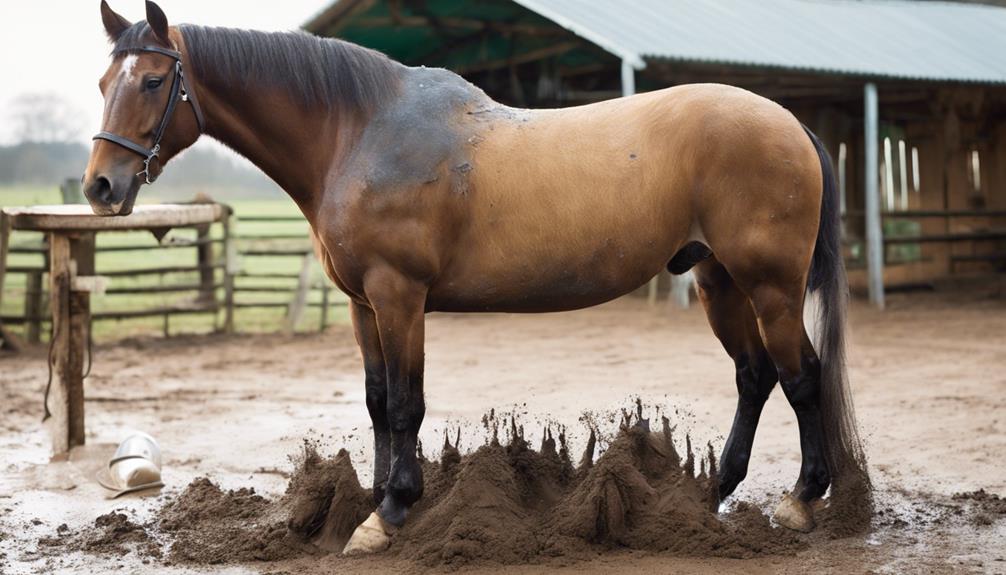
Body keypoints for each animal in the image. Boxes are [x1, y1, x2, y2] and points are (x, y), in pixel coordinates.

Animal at [86, 0, 869, 550]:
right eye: (101, 82)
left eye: (153, 80)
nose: (101, 187)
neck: (361, 132)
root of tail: (790, 123)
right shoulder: (363, 306)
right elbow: (377, 401)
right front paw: (372, 499)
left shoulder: (399, 296)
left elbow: (407, 404)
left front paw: (392, 512)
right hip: (719, 283)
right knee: (754, 377)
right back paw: (710, 497)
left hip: (770, 287)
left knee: (800, 378)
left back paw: (802, 500)